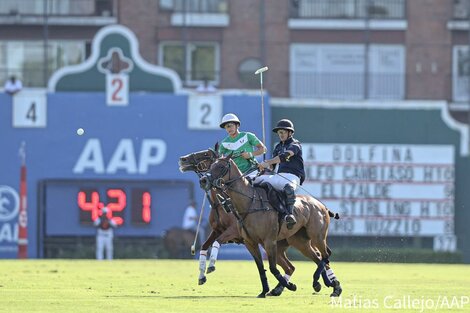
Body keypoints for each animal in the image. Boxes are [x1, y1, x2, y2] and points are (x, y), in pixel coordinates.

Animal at [198, 154, 342, 298]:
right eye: (211, 166)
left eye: (221, 166)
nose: (203, 180)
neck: (249, 203)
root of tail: (322, 206)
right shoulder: (250, 242)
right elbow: (261, 268)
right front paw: (264, 291)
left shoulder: (268, 241)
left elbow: (273, 268)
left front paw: (290, 286)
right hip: (299, 241)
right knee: (316, 259)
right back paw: (321, 283)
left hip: (317, 236)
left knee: (325, 256)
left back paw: (332, 286)